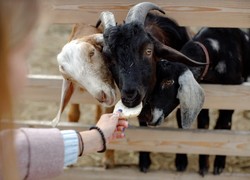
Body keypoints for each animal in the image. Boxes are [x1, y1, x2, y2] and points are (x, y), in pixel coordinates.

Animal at [143, 27, 250, 176]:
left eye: (169, 81)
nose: (147, 115)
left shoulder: (231, 93)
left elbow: (226, 124)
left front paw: (218, 165)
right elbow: (203, 125)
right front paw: (202, 165)